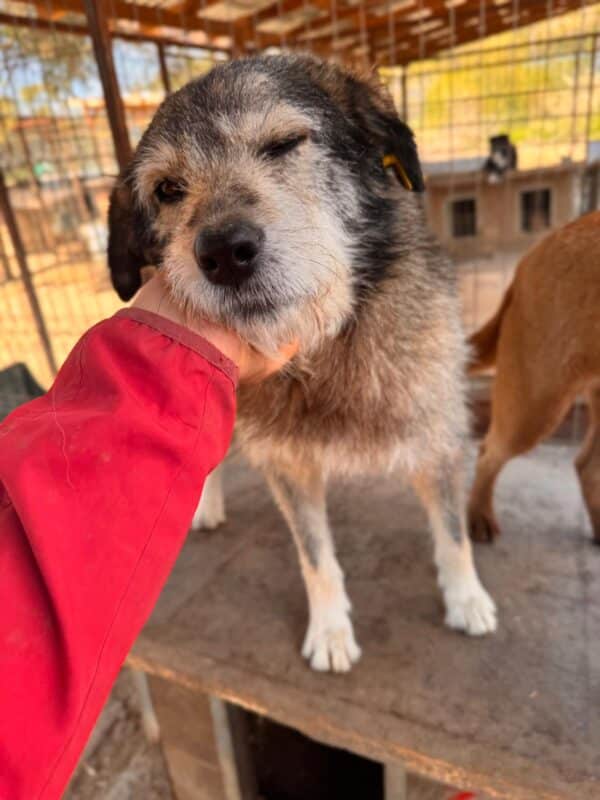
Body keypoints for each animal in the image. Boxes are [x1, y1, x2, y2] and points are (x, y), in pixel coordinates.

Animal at [108, 54, 496, 673]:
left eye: (285, 143)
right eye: (168, 189)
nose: (224, 252)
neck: (327, 347)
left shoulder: (438, 438)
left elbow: (454, 532)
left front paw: (466, 598)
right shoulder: (287, 466)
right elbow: (315, 558)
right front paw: (331, 630)